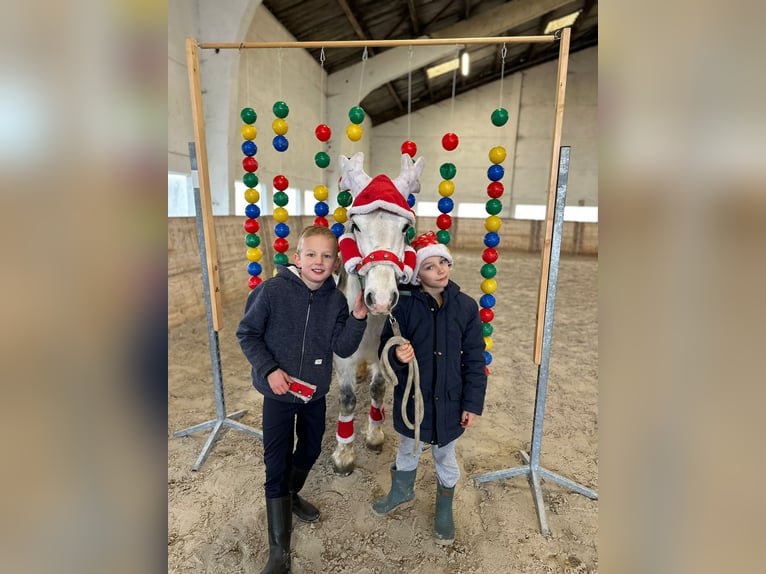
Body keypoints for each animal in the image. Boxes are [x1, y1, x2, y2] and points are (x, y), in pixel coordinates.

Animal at [332, 152, 426, 476]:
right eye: (356, 226)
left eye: (405, 228)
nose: (382, 299)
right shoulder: (342, 359)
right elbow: (347, 400)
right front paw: (344, 455)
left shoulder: (382, 354)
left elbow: (378, 389)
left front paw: (374, 436)